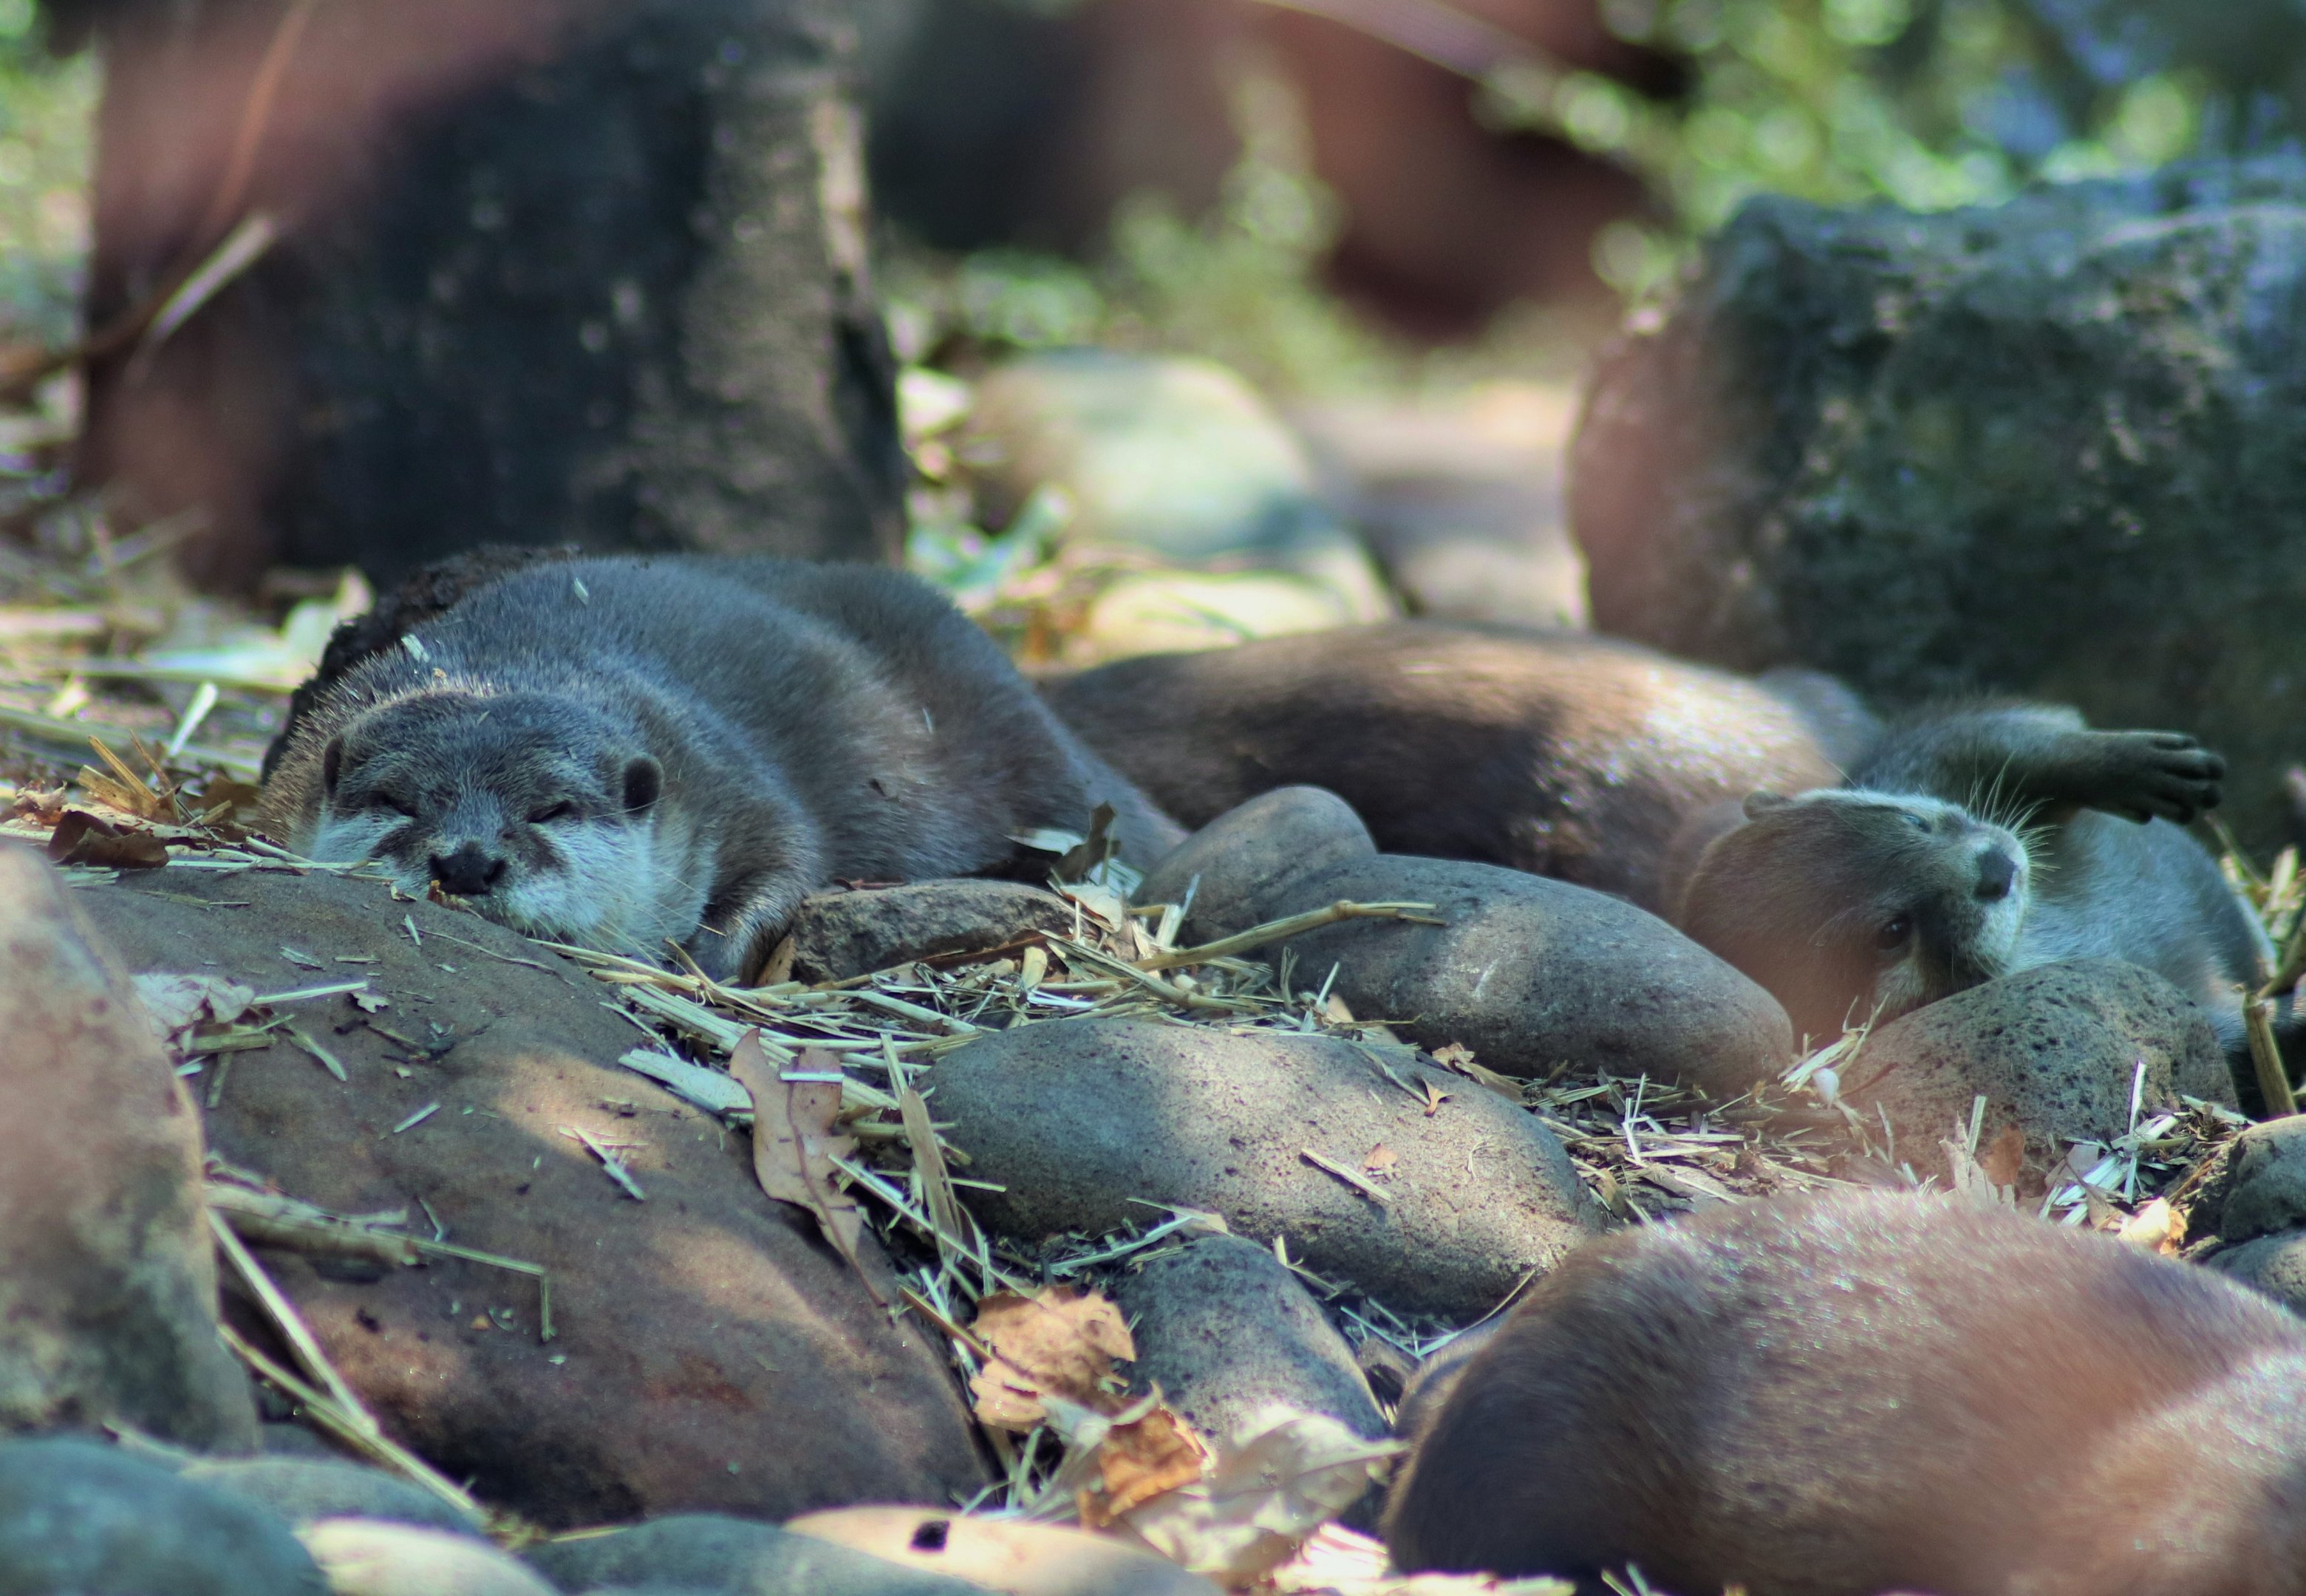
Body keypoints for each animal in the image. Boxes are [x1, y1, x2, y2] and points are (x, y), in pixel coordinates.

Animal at [262, 555, 1183, 981]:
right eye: (398, 800)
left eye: (551, 809)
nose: (466, 862)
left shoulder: (725, 776)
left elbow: (793, 860)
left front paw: (705, 957)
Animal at [1672, 701, 2267, 1051]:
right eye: (1893, 932)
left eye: (1912, 821)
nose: (1995, 870)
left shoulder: (1918, 760)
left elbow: (1992, 732)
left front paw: (2134, 763)